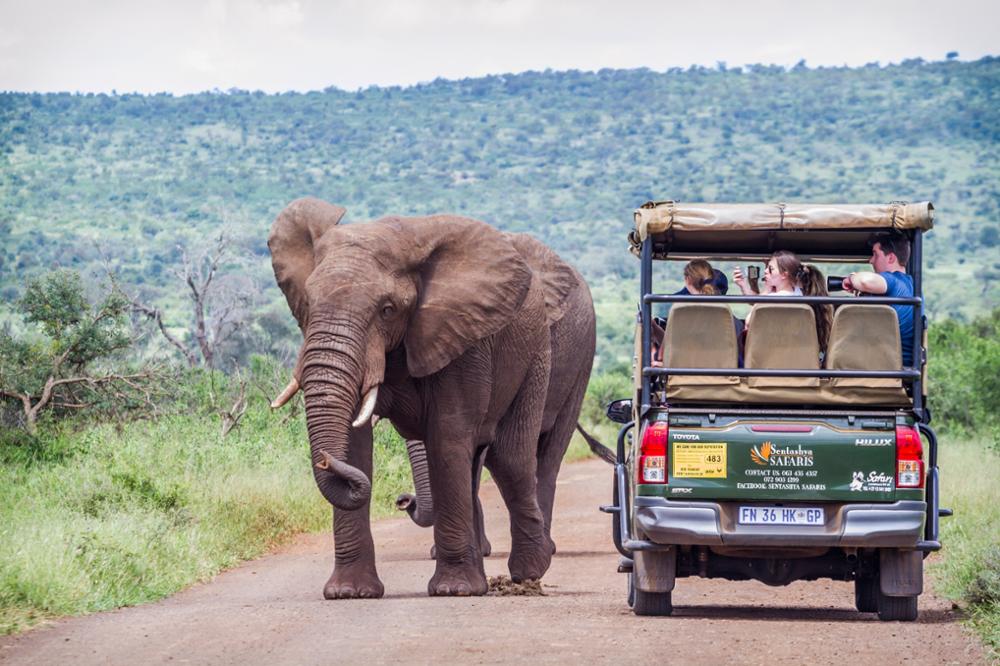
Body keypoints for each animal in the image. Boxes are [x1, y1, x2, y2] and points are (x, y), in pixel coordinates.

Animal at [266, 196, 592, 596]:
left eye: (387, 309)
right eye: (308, 305)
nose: (402, 499)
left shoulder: (464, 338)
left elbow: (447, 437)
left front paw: (455, 590)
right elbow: (357, 445)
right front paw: (349, 593)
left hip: (544, 355)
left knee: (514, 459)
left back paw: (529, 572)